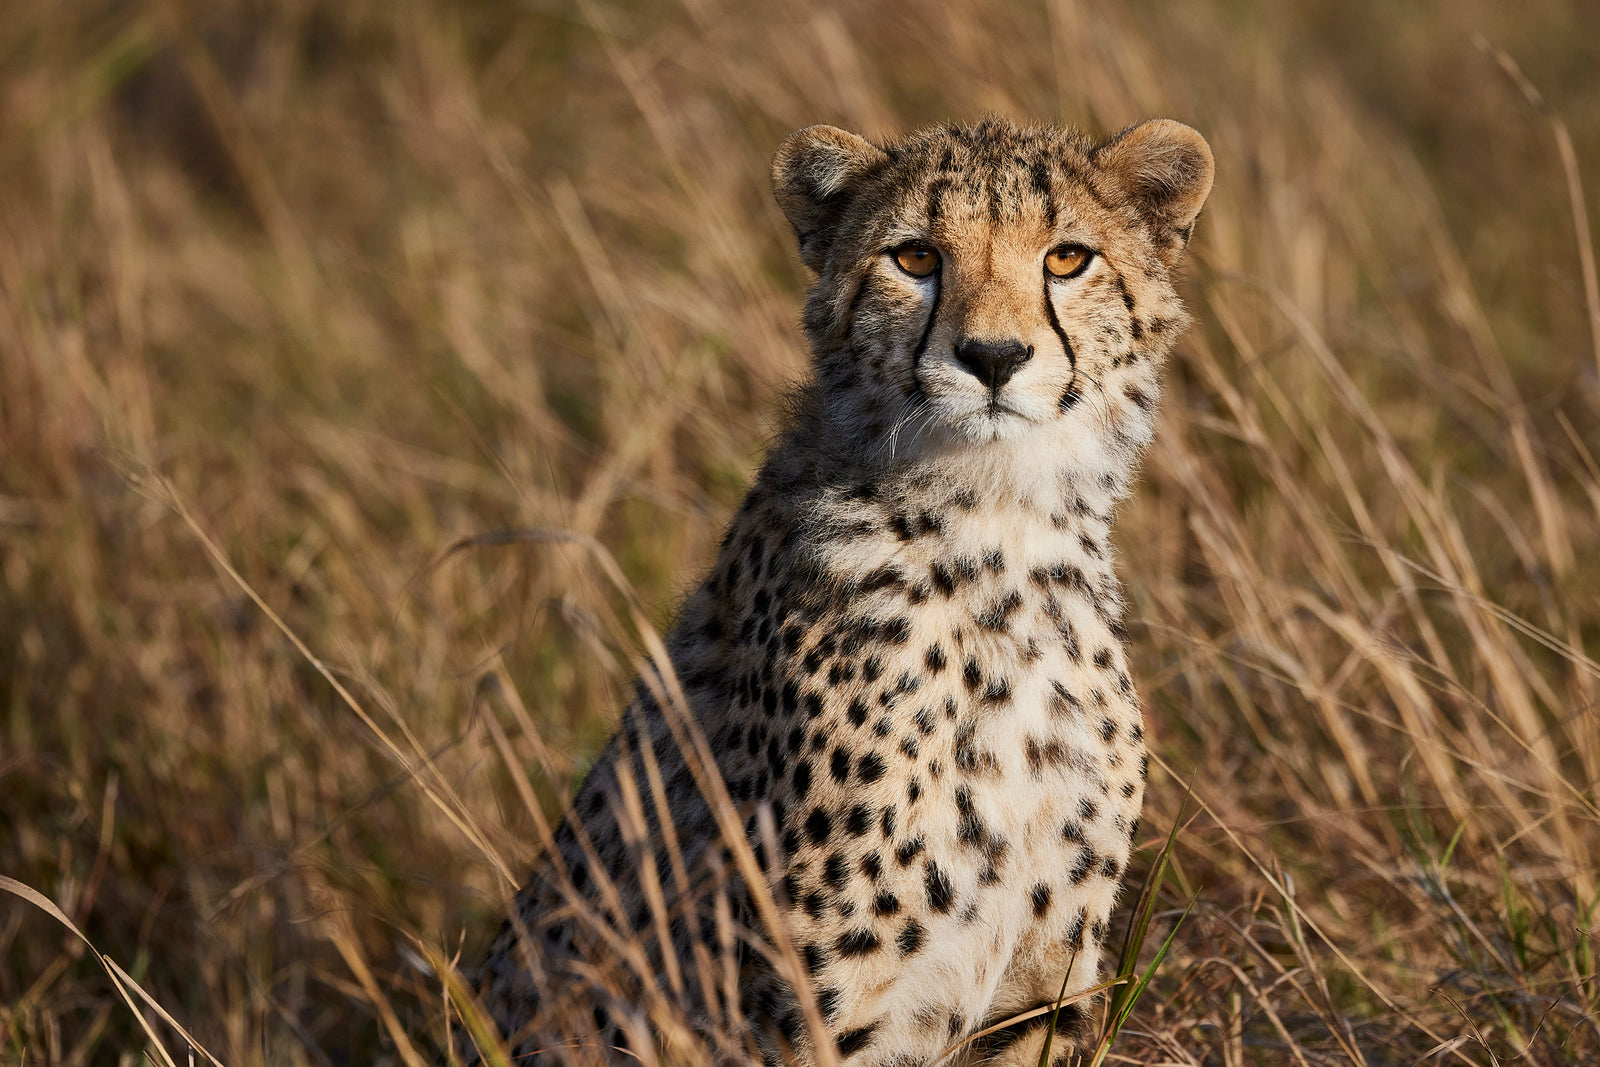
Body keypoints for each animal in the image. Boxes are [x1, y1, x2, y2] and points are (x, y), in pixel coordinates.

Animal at [462, 115, 1213, 1067]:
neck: (998, 528)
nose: (994, 357)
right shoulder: (814, 1000)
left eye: (1068, 257)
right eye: (916, 256)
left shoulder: (1039, 989)